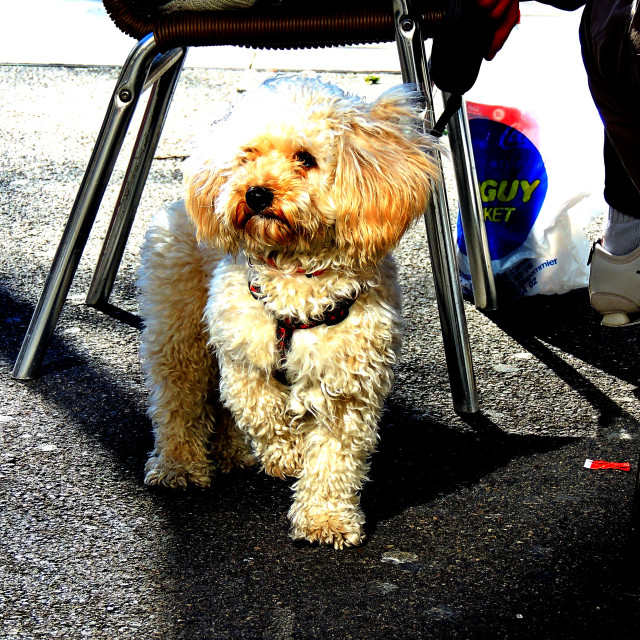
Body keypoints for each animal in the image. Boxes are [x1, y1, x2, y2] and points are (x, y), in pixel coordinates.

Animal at [139, 74, 440, 544]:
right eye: (248, 155)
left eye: (306, 158)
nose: (256, 193)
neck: (296, 272)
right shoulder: (243, 355)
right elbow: (261, 409)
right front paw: (287, 454)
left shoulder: (348, 383)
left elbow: (336, 458)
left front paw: (326, 519)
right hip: (179, 329)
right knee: (178, 399)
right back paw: (179, 466)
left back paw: (231, 453)